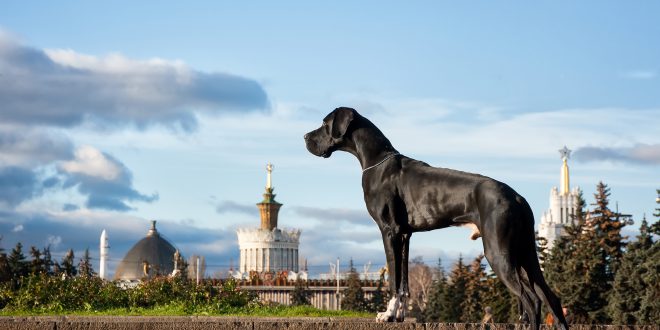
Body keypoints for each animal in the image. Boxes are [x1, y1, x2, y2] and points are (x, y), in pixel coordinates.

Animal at [304, 107, 568, 328]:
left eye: (324, 123)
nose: (305, 137)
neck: (377, 161)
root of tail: (517, 197)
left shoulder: (389, 231)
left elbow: (393, 279)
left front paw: (387, 314)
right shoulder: (405, 235)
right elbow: (404, 281)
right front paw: (400, 314)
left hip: (498, 253)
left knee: (532, 301)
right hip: (526, 254)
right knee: (552, 299)